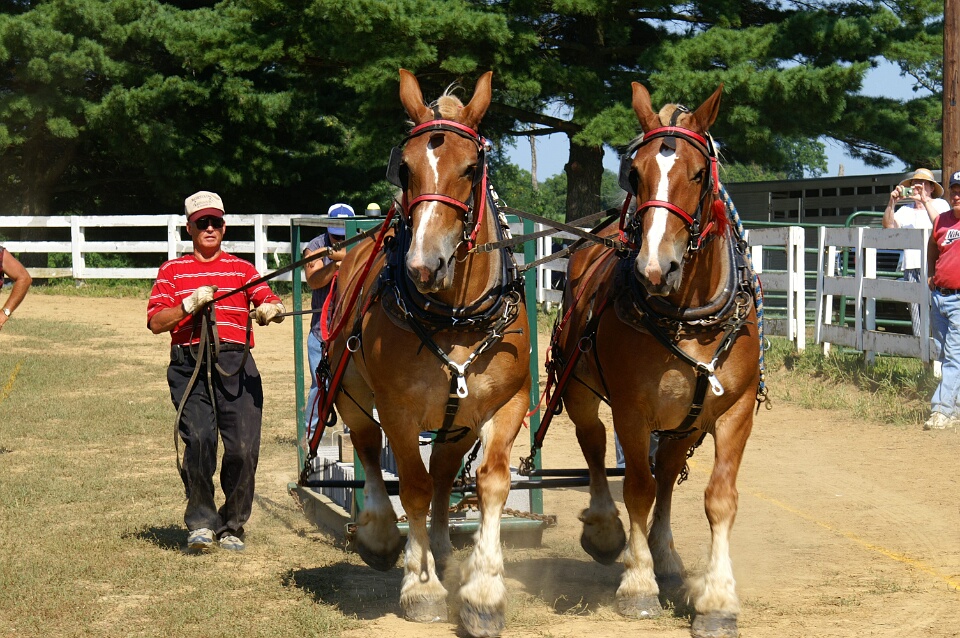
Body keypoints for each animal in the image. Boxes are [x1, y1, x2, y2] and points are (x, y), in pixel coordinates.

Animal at [322, 69, 531, 638]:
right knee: (370, 452)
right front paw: (421, 585)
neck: (455, 317)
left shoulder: (507, 404)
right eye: (406, 167)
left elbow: (490, 483)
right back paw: (382, 535)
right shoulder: (397, 409)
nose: (422, 264)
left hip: (458, 421)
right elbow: (411, 487)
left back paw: (440, 546)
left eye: (470, 168)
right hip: (351, 393)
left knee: (443, 472)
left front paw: (483, 591)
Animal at [549, 82, 760, 638]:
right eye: (635, 174)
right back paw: (607, 532)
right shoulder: (632, 407)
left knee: (667, 470)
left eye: (698, 173)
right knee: (595, 446)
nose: (653, 267)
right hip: (578, 388)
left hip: (686, 419)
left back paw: (666, 558)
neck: (689, 315)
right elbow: (637, 488)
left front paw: (717, 599)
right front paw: (637, 584)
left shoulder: (734, 409)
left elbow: (717, 497)